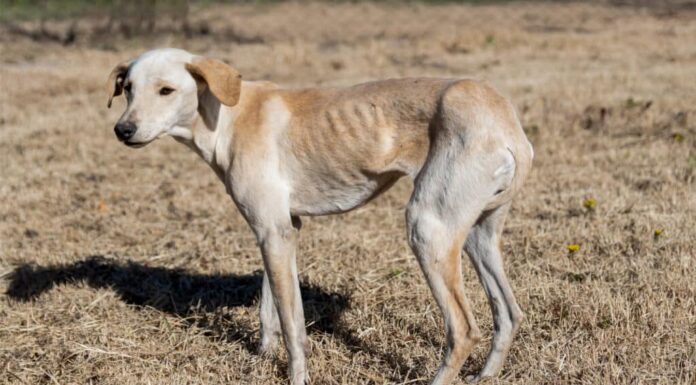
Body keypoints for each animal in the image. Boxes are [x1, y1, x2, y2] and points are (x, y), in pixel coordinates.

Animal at [107, 48, 532, 384]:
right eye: (127, 88)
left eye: (166, 90)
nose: (122, 130)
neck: (228, 116)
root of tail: (506, 123)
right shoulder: (280, 231)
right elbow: (269, 309)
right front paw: (261, 357)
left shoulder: (273, 231)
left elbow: (293, 325)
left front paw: (295, 375)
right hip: (478, 236)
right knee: (509, 314)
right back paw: (486, 375)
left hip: (428, 230)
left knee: (463, 330)